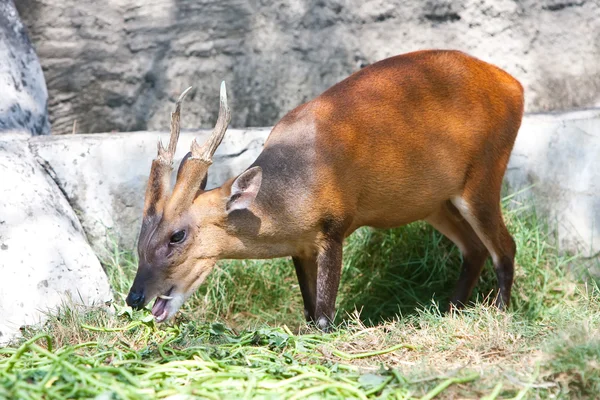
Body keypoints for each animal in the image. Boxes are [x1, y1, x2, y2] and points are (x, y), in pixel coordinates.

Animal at [126, 50, 524, 332]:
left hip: (484, 175)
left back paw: (501, 313)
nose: (134, 297)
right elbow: (308, 310)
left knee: (504, 247)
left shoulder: (335, 226)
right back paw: (450, 311)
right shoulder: (300, 246)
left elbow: (324, 318)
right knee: (474, 249)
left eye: (177, 235)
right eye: (140, 238)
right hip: (436, 203)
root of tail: (515, 86)